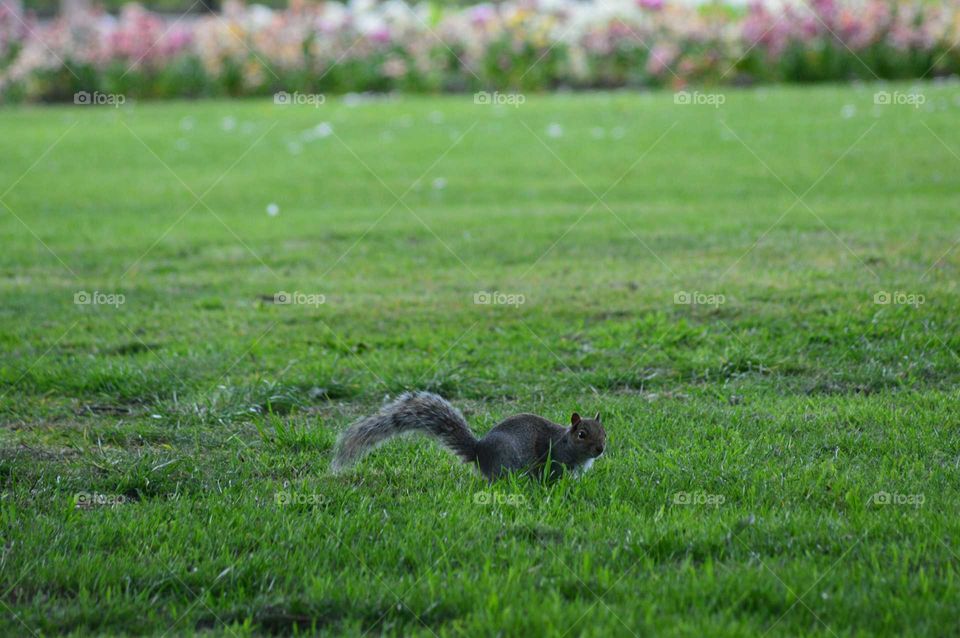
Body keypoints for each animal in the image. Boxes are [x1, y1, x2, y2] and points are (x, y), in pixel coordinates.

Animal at [330, 392, 608, 482]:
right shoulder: (554, 457)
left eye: (605, 432)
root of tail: (479, 452)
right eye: (582, 434)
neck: (566, 443)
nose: (600, 449)